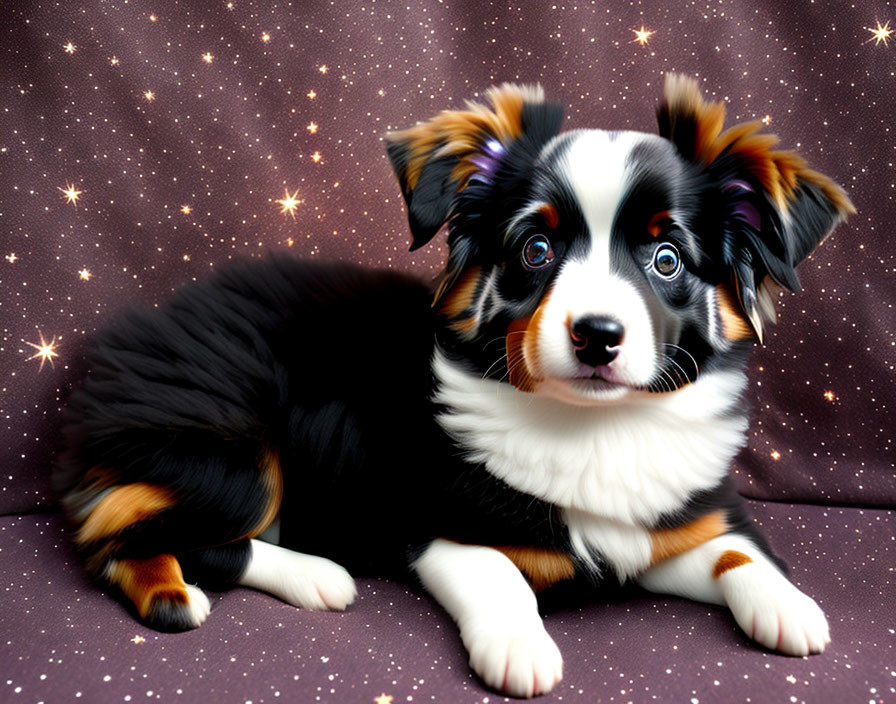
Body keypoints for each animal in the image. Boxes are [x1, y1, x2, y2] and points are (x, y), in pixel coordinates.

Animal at [56, 77, 856, 700]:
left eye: (667, 259)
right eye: (536, 250)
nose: (598, 335)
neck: (594, 422)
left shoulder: (682, 521)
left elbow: (739, 551)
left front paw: (791, 607)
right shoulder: (439, 525)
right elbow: (499, 573)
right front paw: (522, 649)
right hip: (230, 448)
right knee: (128, 536)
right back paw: (266, 583)